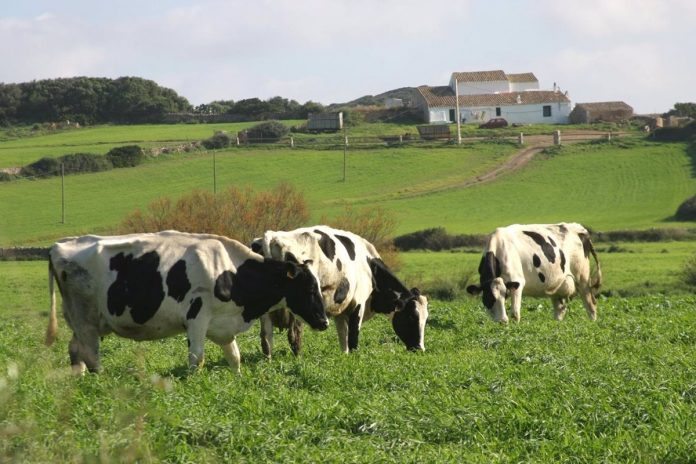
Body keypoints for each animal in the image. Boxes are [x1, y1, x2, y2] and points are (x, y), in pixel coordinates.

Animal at [44, 230, 328, 376]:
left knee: (75, 351)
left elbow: (234, 358)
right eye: (308, 288)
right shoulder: (197, 318)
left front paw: (237, 379)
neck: (230, 271)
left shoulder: (223, 324)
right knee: (91, 356)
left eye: (319, 287)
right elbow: (197, 359)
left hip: (80, 322)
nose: (324, 321)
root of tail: (58, 246)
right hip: (86, 319)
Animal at [254, 226, 426, 356]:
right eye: (411, 317)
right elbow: (353, 338)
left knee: (266, 338)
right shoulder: (358, 303)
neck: (369, 266)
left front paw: (344, 358)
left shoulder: (341, 311)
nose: (420, 349)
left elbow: (344, 338)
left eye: (426, 319)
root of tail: (274, 236)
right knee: (294, 335)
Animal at [464, 223, 600, 324]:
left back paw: (592, 323)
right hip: (558, 285)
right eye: (489, 297)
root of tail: (581, 229)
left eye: (505, 295)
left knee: (591, 304)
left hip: (582, 278)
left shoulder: (517, 282)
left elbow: (515, 314)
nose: (503, 321)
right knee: (560, 309)